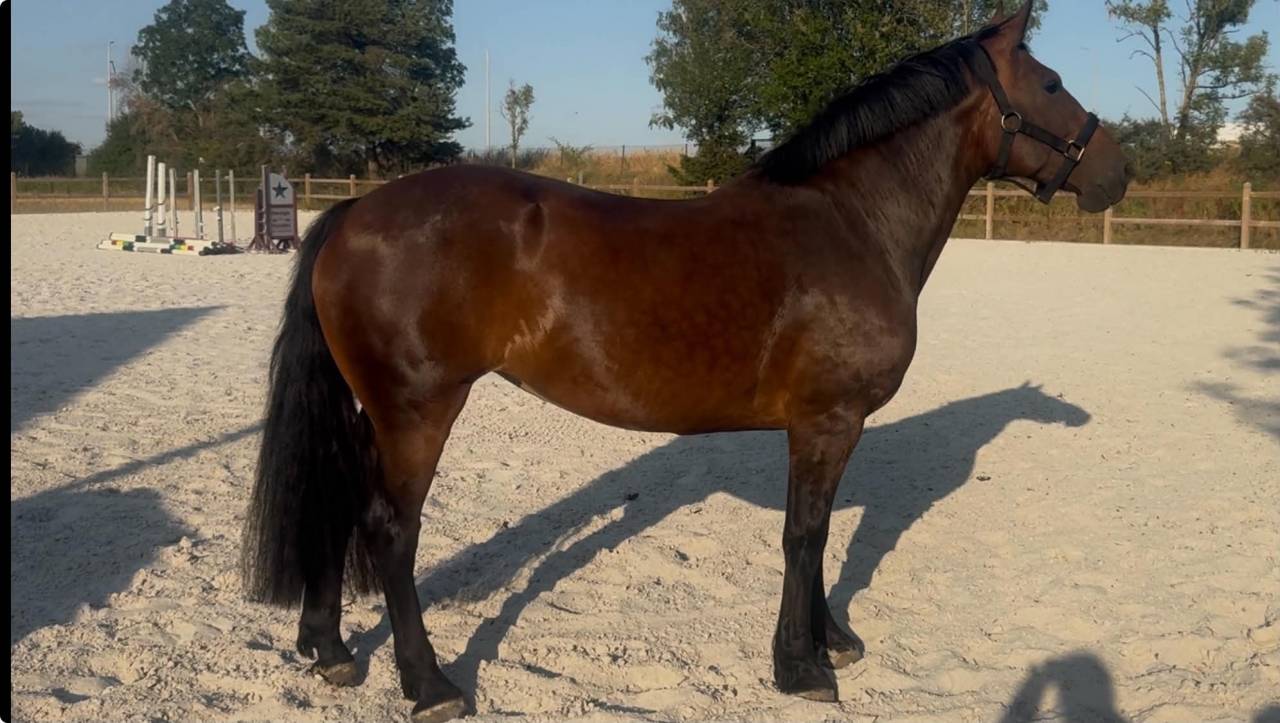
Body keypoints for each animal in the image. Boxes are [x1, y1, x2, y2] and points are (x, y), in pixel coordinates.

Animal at [240, 3, 1130, 721]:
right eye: (1050, 82)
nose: (1116, 171)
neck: (853, 222)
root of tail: (357, 208)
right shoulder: (828, 420)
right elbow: (803, 536)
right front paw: (801, 665)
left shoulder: (826, 428)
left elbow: (816, 538)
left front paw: (832, 638)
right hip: (419, 411)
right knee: (391, 531)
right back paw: (430, 685)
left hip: (374, 412)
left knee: (336, 501)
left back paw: (330, 649)